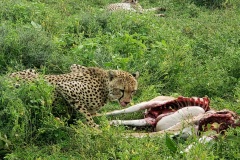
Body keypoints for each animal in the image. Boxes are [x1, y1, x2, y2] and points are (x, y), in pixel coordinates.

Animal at [9, 64, 139, 128]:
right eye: (122, 90)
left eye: (133, 91)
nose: (127, 102)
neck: (105, 87)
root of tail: (6, 78)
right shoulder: (64, 87)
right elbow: (86, 114)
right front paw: (94, 127)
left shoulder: (75, 67)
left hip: (32, 71)